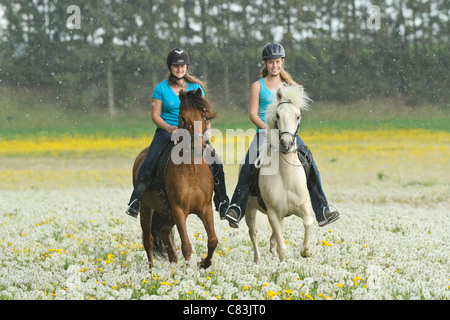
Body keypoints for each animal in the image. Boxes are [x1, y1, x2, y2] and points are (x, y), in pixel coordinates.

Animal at [246, 85, 312, 262]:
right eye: (277, 115)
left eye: (298, 116)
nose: (286, 144)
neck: (286, 175)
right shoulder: (273, 214)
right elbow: (282, 247)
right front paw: (282, 264)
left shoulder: (302, 206)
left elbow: (308, 222)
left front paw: (305, 251)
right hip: (250, 210)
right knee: (253, 233)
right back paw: (257, 260)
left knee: (273, 237)